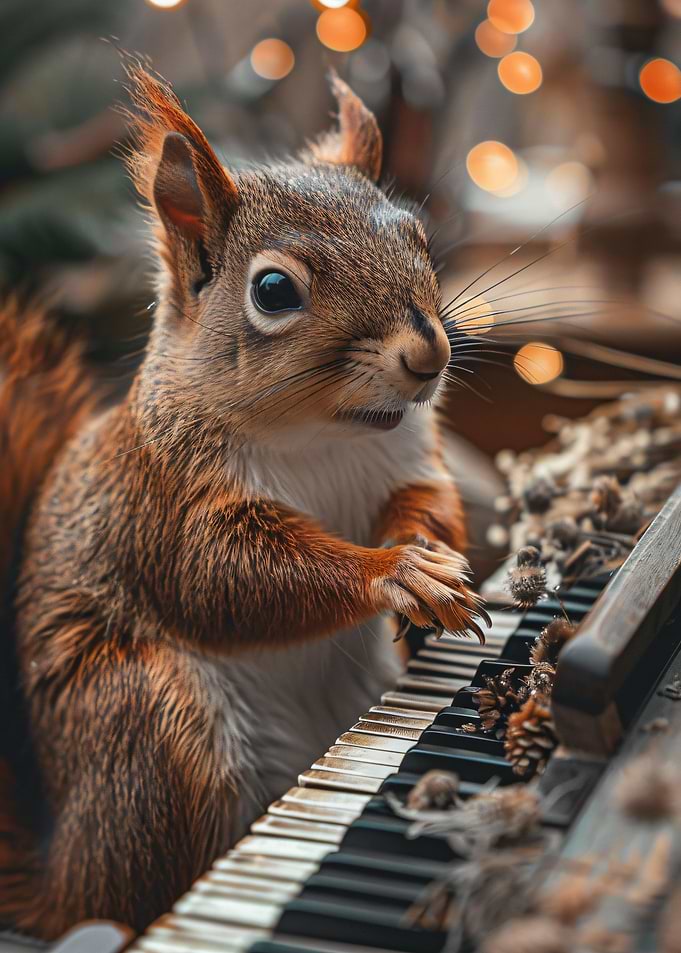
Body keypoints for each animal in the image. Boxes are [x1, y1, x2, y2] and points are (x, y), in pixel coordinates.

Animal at [0, 66, 488, 938]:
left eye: (420, 238)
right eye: (272, 289)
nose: (426, 352)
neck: (325, 437)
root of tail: (65, 878)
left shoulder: (409, 464)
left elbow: (429, 503)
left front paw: (436, 557)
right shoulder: (167, 501)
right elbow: (229, 579)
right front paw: (397, 572)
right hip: (155, 723)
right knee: (149, 888)